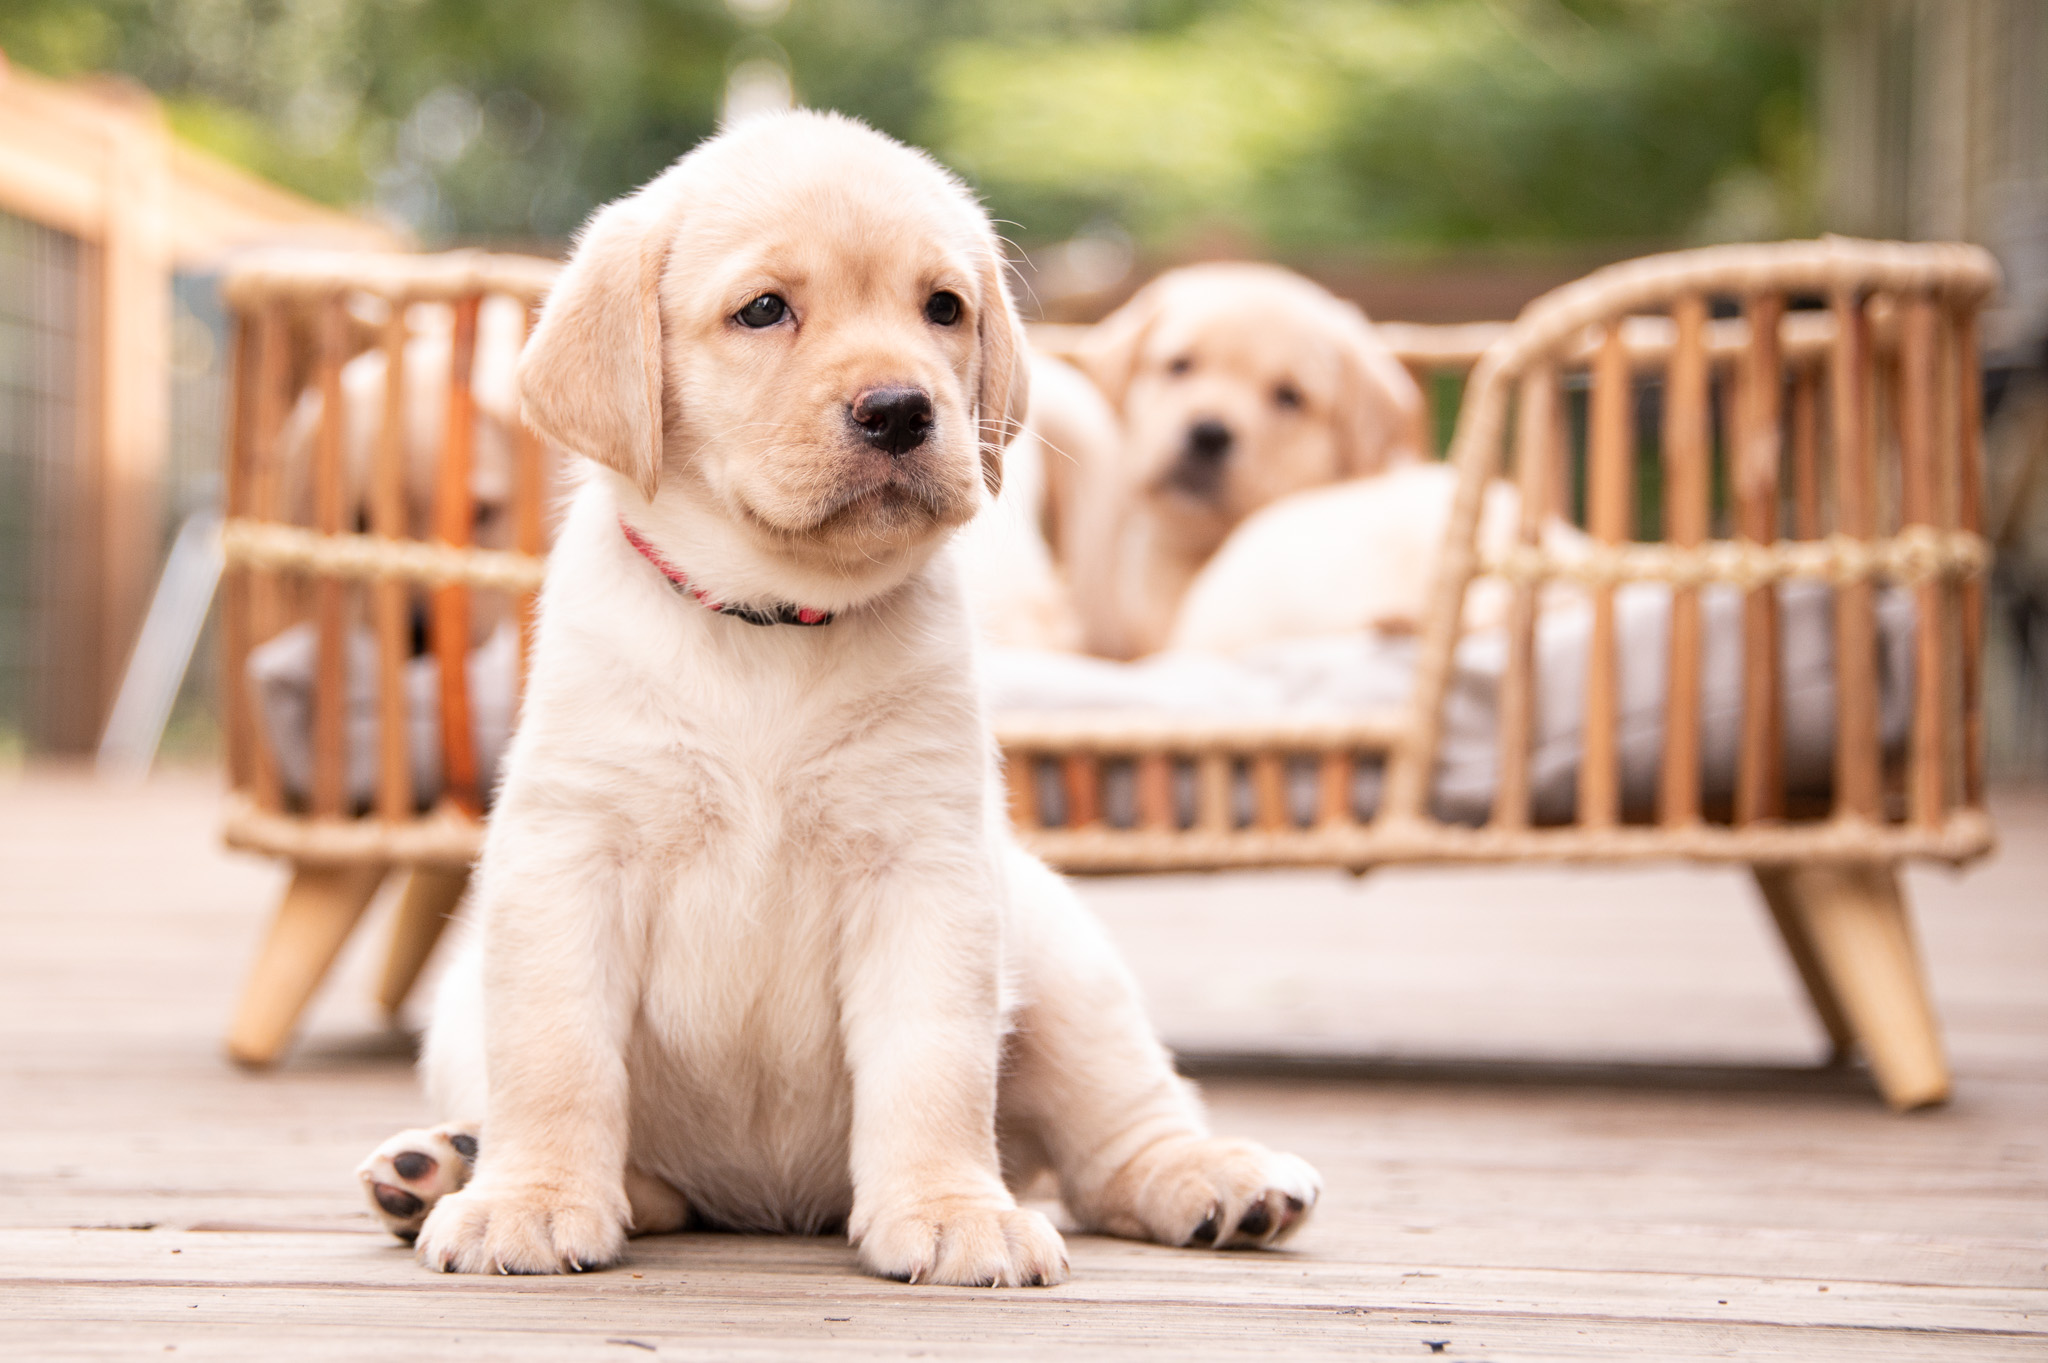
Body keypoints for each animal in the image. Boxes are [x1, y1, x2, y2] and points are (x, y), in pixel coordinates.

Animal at [354, 108, 1318, 1285]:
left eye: (942, 308)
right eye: (764, 309)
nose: (901, 408)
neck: (770, 621)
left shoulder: (928, 872)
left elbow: (934, 1066)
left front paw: (952, 1208)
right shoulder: (569, 857)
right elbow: (556, 1055)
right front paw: (527, 1198)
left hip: (1061, 957)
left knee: (1117, 1136)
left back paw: (1219, 1180)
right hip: (459, 1015)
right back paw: (443, 1165)